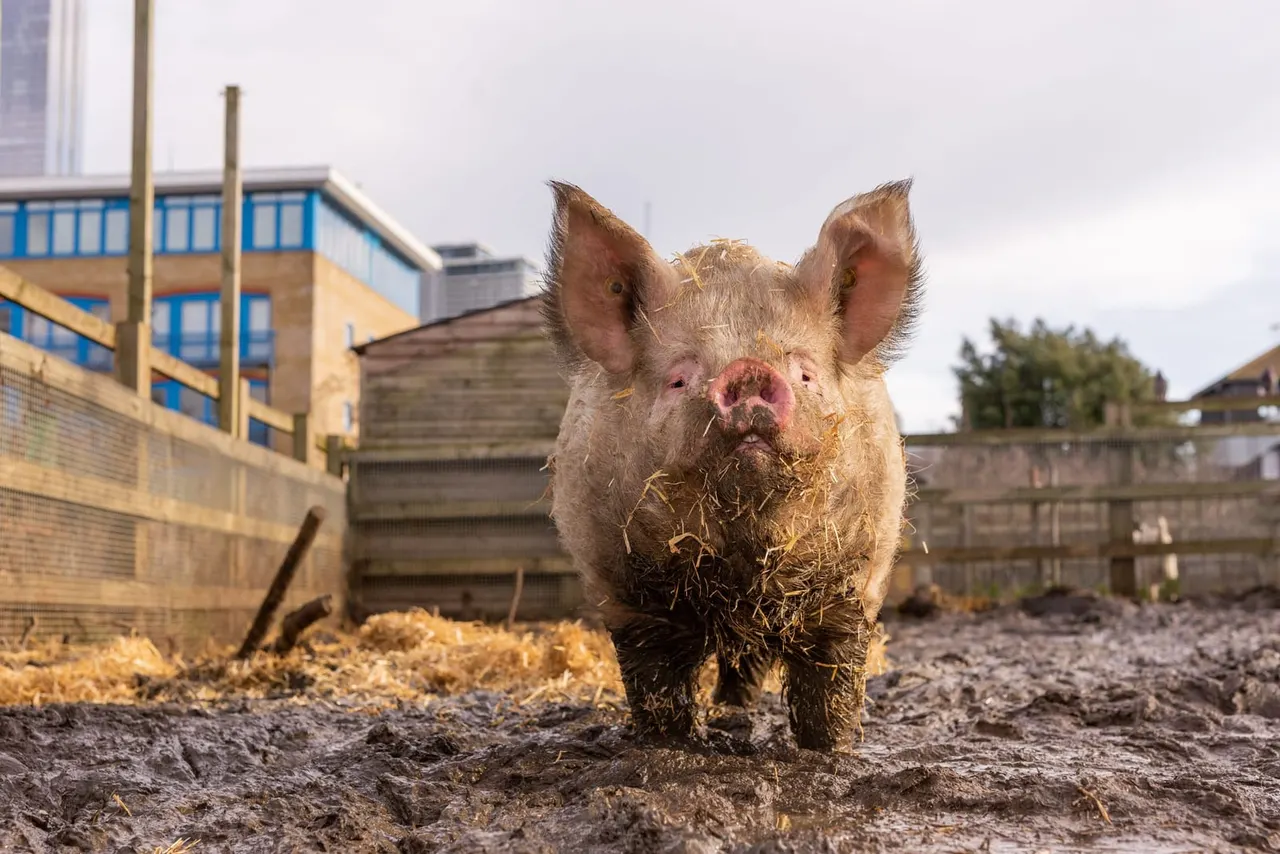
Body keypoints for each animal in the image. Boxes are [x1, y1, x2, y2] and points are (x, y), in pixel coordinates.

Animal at [539, 179, 923, 752]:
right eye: (679, 379)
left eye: (804, 373)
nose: (748, 370)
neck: (743, 568)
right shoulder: (627, 594)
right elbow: (657, 685)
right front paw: (671, 744)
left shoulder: (854, 586)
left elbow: (829, 688)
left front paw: (831, 748)